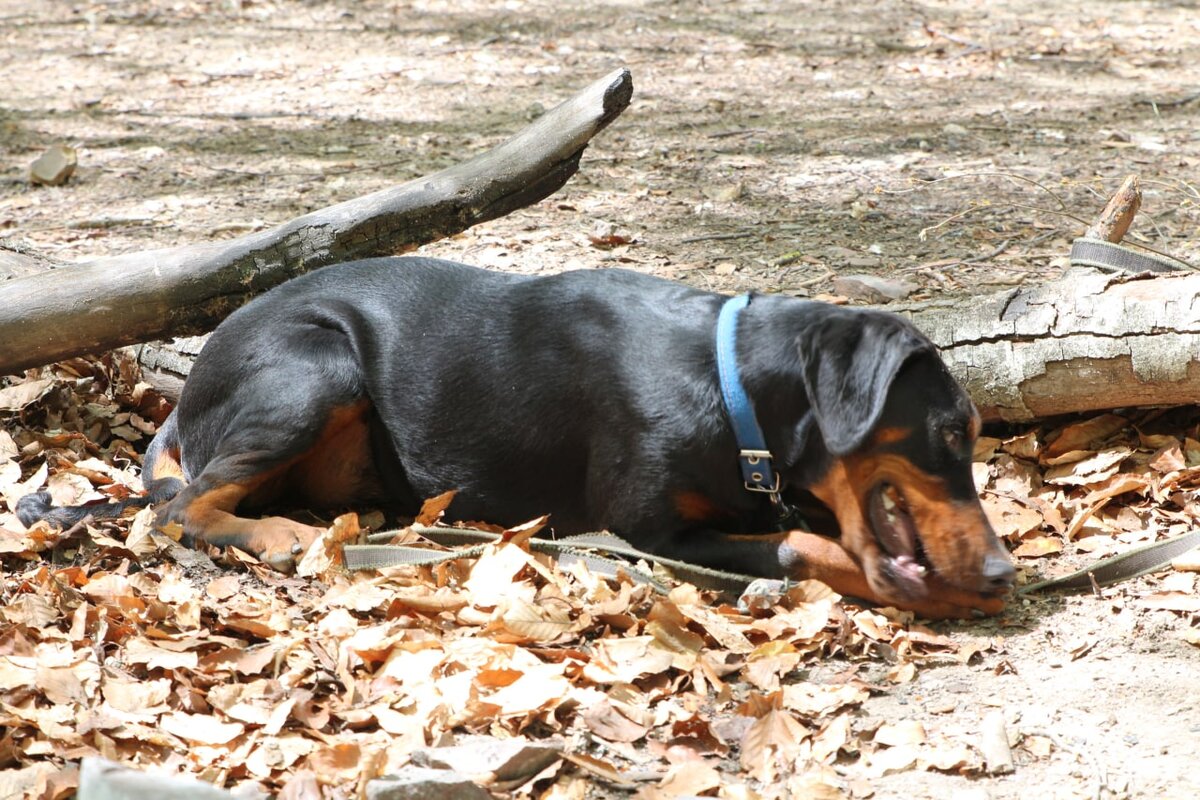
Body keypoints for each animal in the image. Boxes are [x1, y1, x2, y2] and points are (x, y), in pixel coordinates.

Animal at [18, 256, 1012, 618]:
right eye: (951, 432)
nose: (1005, 569)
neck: (735, 387)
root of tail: (183, 407)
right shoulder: (647, 531)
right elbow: (806, 544)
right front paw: (943, 593)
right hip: (314, 365)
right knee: (181, 507)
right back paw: (284, 536)